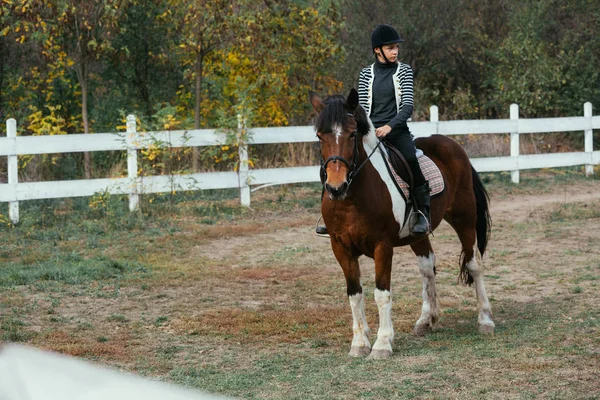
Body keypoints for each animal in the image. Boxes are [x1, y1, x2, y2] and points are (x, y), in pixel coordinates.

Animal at [312, 90, 494, 360]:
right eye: (319, 136)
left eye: (352, 134)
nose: (336, 187)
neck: (352, 198)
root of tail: (451, 144)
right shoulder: (340, 247)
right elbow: (355, 294)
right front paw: (359, 342)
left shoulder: (382, 246)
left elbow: (381, 294)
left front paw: (382, 344)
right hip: (419, 234)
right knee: (427, 267)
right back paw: (426, 320)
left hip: (465, 220)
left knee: (474, 265)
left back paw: (485, 320)